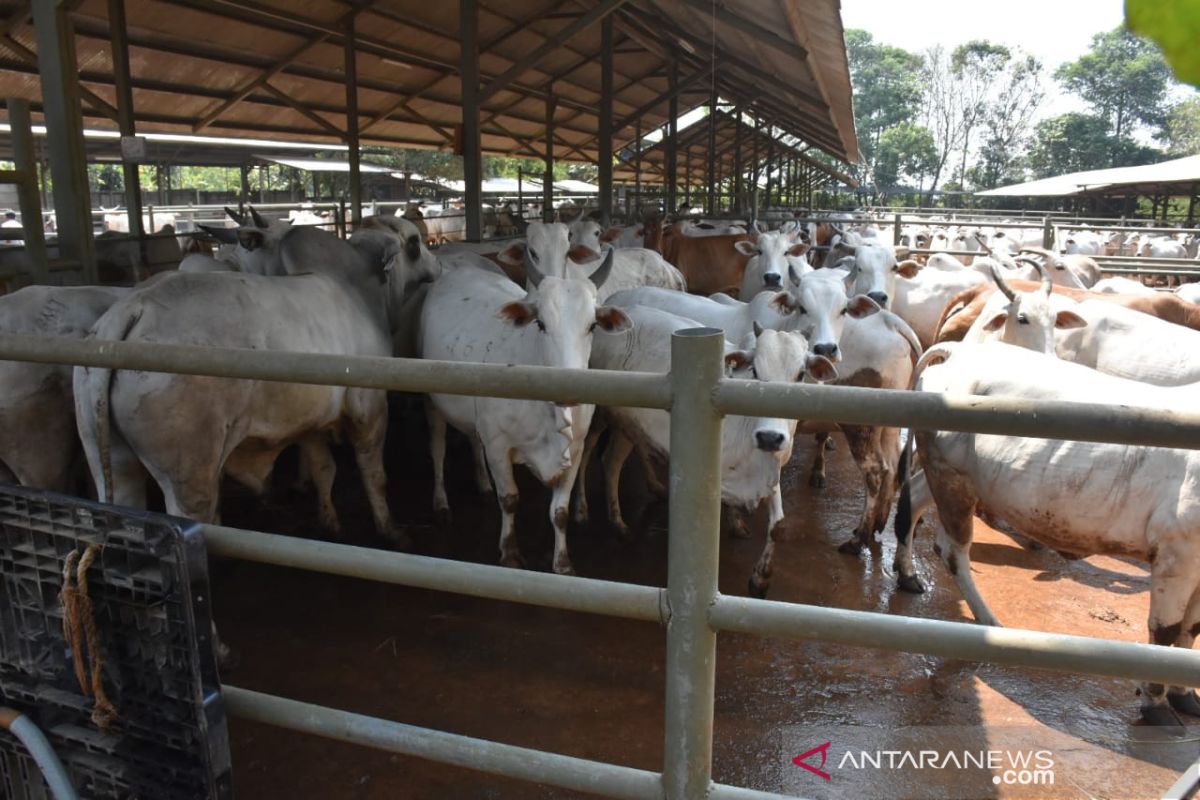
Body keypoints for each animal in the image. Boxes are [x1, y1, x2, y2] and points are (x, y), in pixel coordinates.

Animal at [420, 247, 633, 573]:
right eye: (541, 324)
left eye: (592, 326)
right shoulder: (498, 446)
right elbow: (509, 499)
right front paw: (510, 553)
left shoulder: (575, 450)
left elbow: (559, 511)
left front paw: (562, 562)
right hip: (432, 403)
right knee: (437, 448)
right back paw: (441, 503)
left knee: (473, 439)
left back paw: (483, 484)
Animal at [897, 338, 1200, 724]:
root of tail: (958, 351)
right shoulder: (1177, 555)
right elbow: (1166, 631)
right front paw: (1157, 705)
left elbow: (1191, 628)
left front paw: (1185, 696)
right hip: (951, 477)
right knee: (952, 549)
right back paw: (988, 619)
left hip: (950, 478)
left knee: (913, 504)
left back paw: (908, 575)